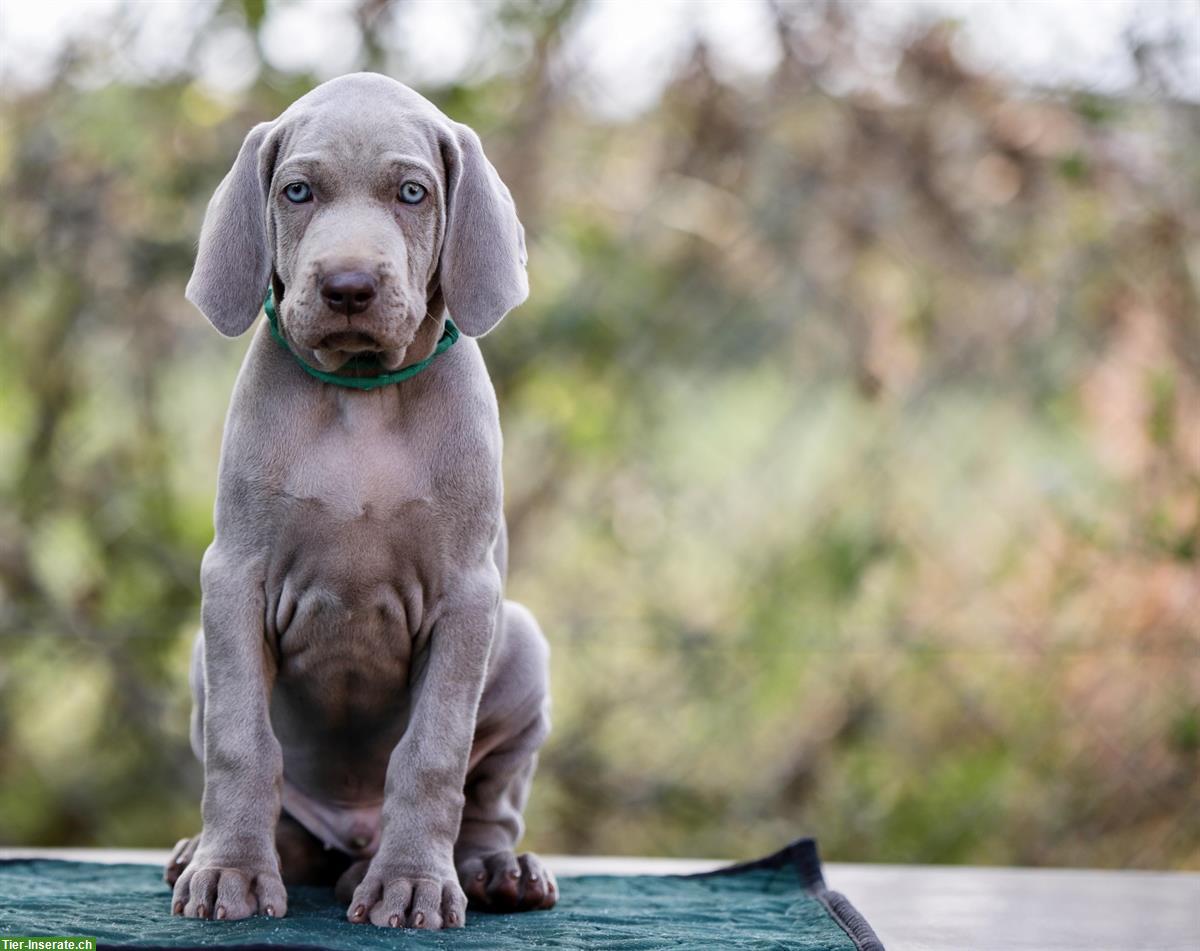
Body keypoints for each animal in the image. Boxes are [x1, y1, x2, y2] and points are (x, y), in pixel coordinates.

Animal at [166, 72, 554, 926]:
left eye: (412, 192)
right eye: (297, 191)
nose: (348, 286)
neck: (363, 394)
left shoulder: (468, 596)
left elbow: (432, 753)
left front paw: (413, 883)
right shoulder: (233, 577)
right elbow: (243, 743)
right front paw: (231, 870)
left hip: (522, 644)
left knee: (491, 801)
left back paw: (491, 869)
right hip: (204, 659)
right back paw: (228, 850)